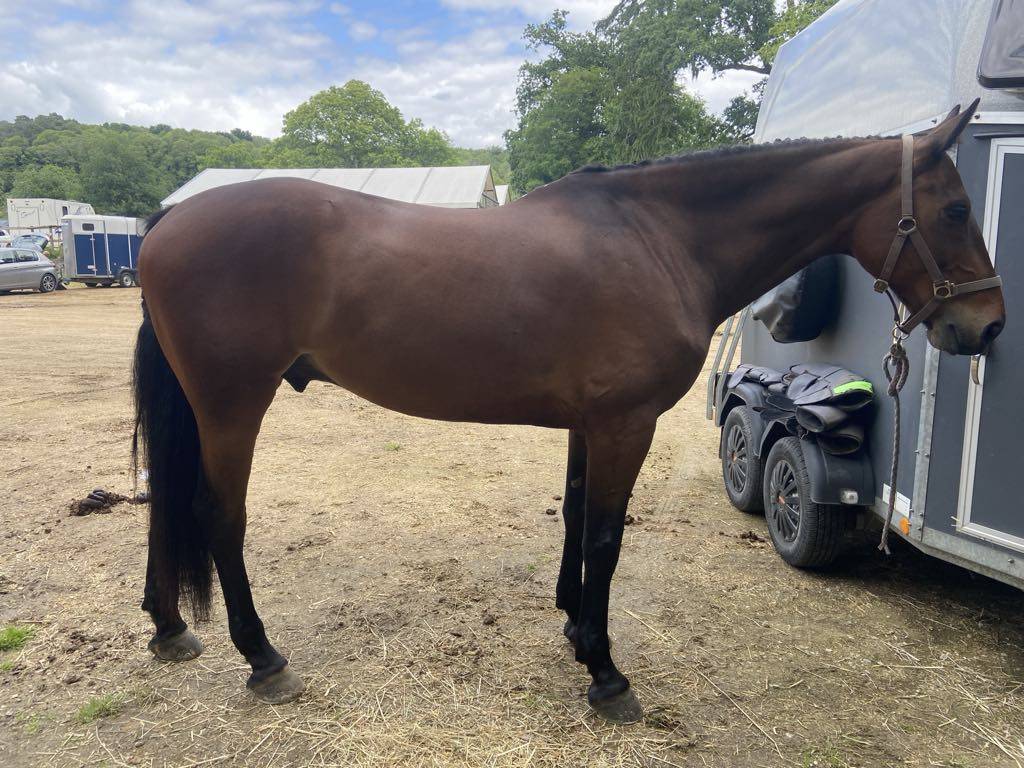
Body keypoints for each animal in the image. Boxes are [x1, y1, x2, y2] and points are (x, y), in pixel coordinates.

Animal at [133, 101, 1003, 723]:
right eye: (956, 209)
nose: (987, 325)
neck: (658, 240)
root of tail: (171, 220)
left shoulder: (593, 425)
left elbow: (577, 518)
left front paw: (575, 629)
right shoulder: (626, 425)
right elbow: (607, 539)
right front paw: (607, 674)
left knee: (167, 506)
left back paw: (170, 630)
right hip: (233, 405)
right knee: (217, 516)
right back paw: (263, 658)